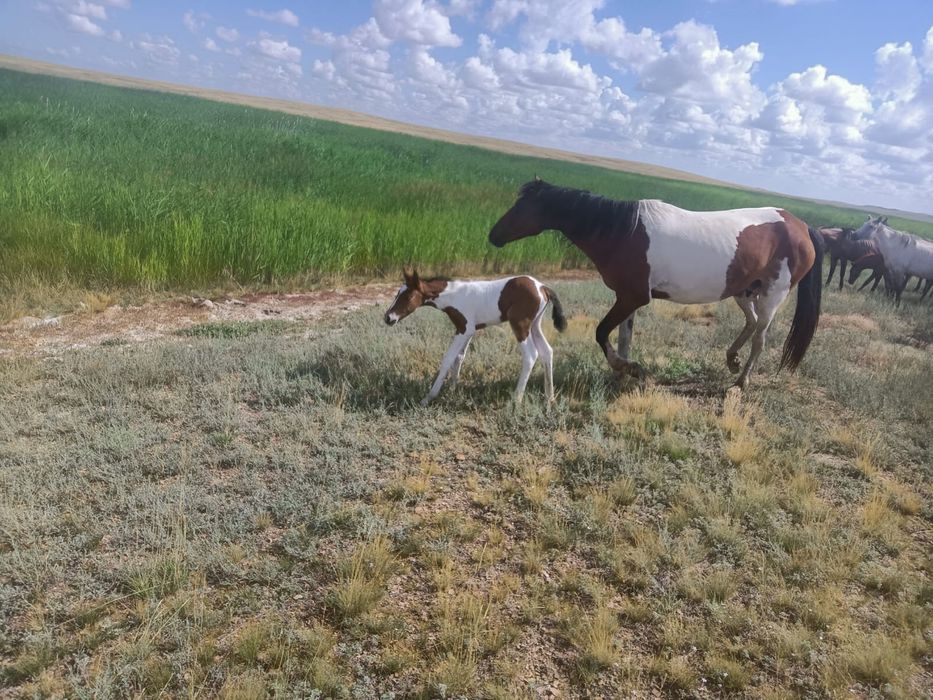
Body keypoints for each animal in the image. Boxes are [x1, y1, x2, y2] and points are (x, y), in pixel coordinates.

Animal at [384, 269, 566, 405]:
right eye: (397, 294)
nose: (388, 318)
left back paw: (516, 399)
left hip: (520, 325)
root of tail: (542, 287)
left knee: (530, 354)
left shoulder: (464, 329)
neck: (454, 295)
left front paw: (429, 397)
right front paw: (452, 390)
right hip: (535, 325)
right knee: (546, 351)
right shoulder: (469, 330)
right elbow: (459, 357)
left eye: (408, 296)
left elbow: (448, 358)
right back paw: (549, 398)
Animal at [488, 179, 823, 389]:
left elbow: (601, 332)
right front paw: (621, 373)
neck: (624, 231)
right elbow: (623, 337)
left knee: (760, 337)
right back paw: (732, 361)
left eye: (522, 207)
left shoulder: (632, 297)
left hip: (772, 294)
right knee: (751, 323)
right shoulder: (628, 299)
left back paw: (741, 382)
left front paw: (628, 368)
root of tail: (803, 226)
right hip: (744, 290)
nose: (493, 235)